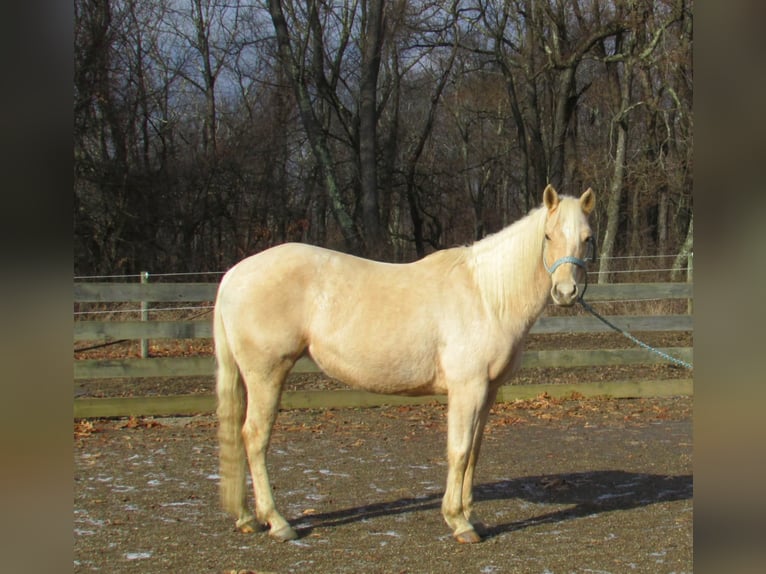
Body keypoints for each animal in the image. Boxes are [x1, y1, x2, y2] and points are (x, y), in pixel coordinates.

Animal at [216, 187, 600, 548]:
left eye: (586, 237)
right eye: (547, 236)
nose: (566, 292)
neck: (487, 296)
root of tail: (234, 274)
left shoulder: (488, 390)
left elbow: (474, 452)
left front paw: (471, 517)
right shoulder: (467, 388)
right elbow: (459, 451)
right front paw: (458, 522)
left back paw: (248, 518)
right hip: (266, 374)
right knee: (255, 437)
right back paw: (277, 522)